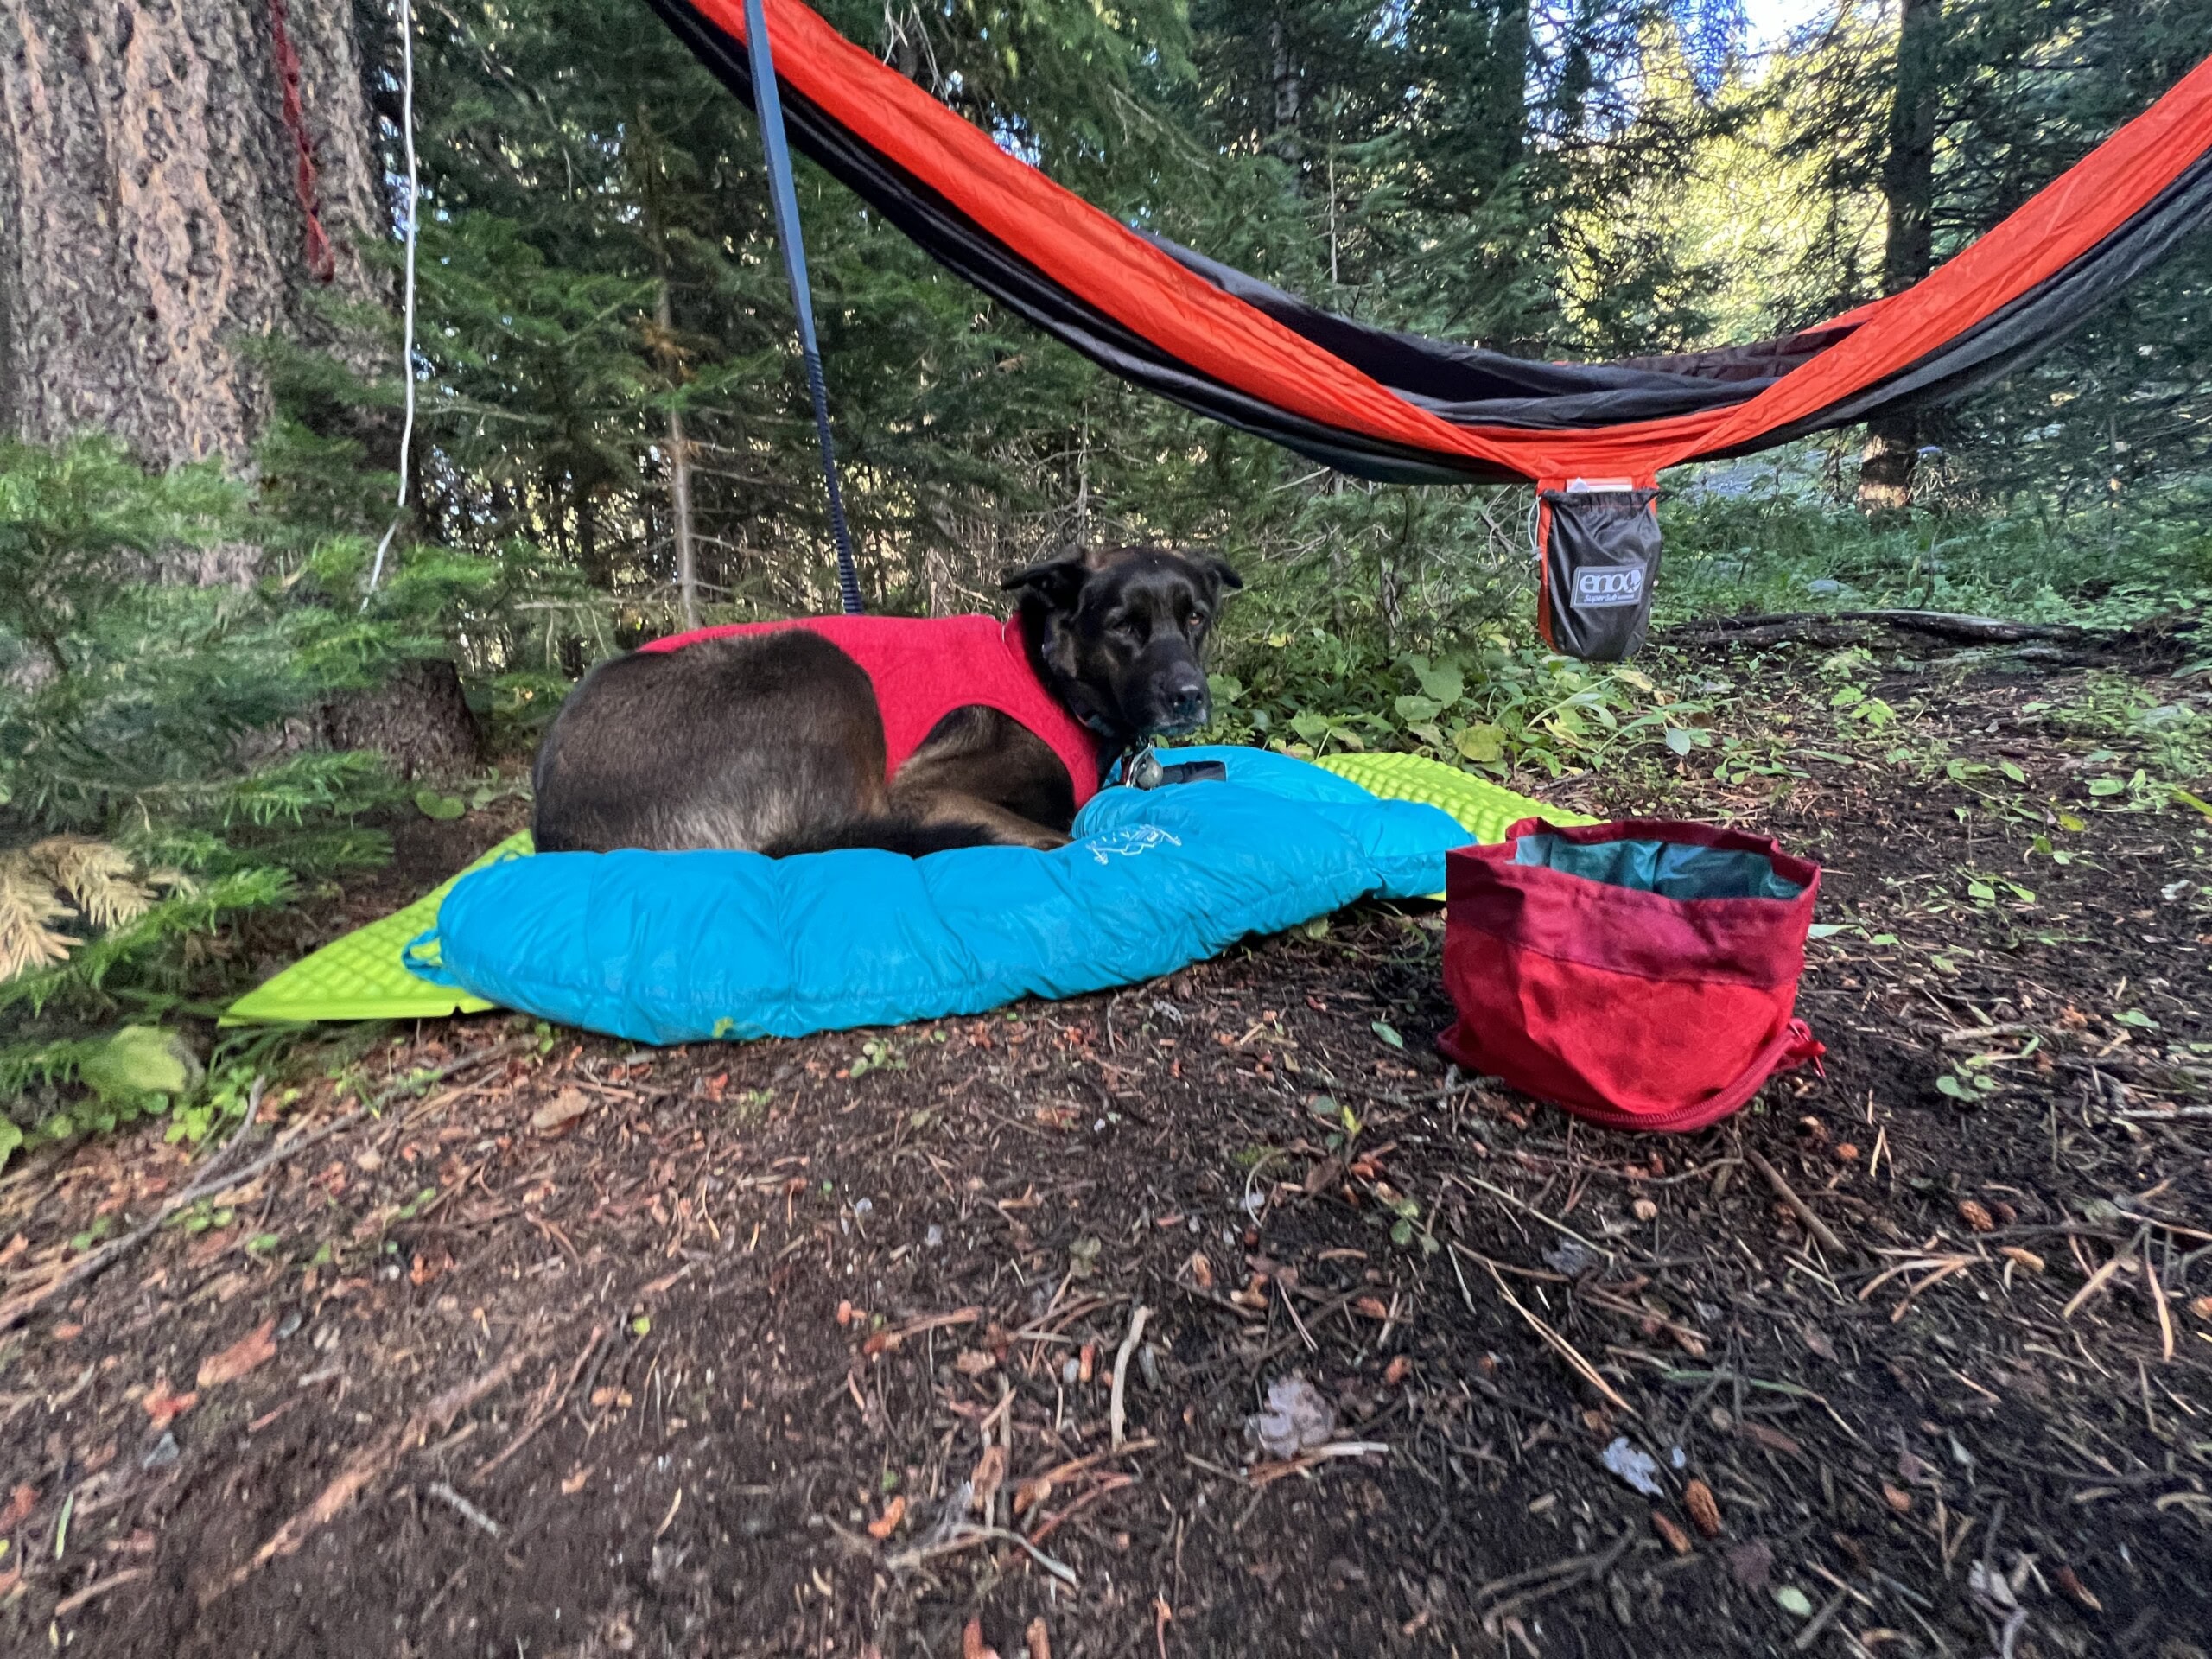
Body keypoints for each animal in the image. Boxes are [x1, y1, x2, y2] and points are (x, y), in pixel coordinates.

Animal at [526, 546, 1238, 858]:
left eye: (1196, 618)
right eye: (1123, 626)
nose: (1189, 697)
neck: (1047, 678)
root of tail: (555, 822)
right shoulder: (918, 791)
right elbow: (1058, 838)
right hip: (820, 665)